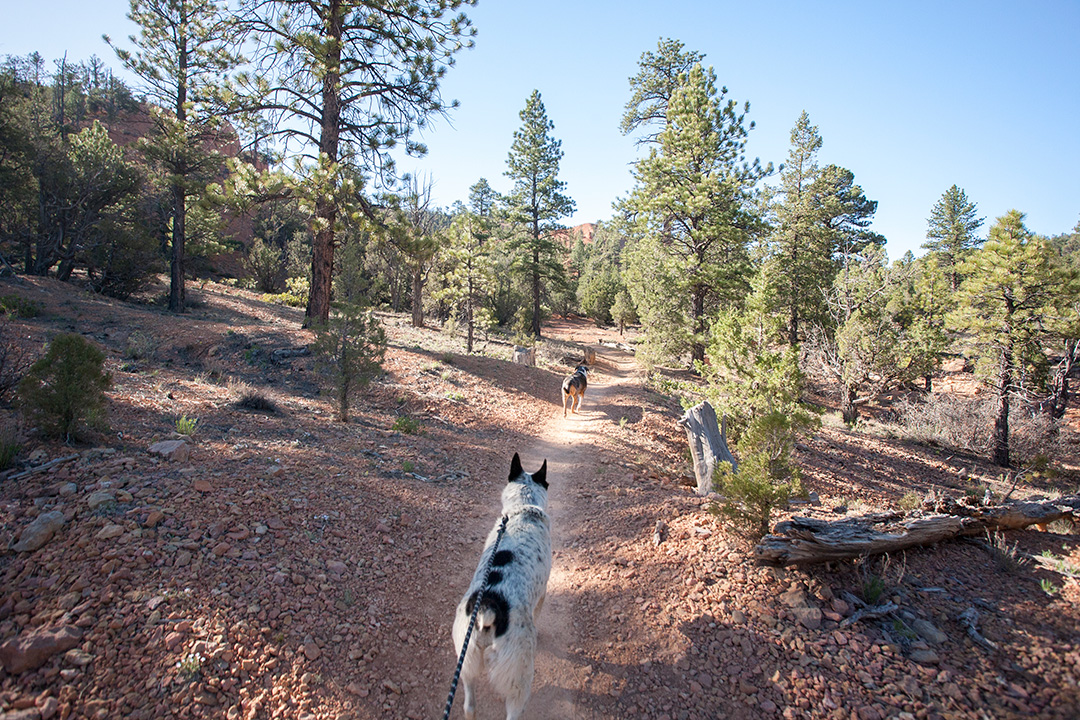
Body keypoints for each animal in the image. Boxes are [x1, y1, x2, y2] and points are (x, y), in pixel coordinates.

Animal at [449, 453, 548, 716]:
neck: (522, 510)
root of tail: (488, 609)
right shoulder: (543, 593)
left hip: (466, 664)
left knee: (469, 706)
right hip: (518, 679)